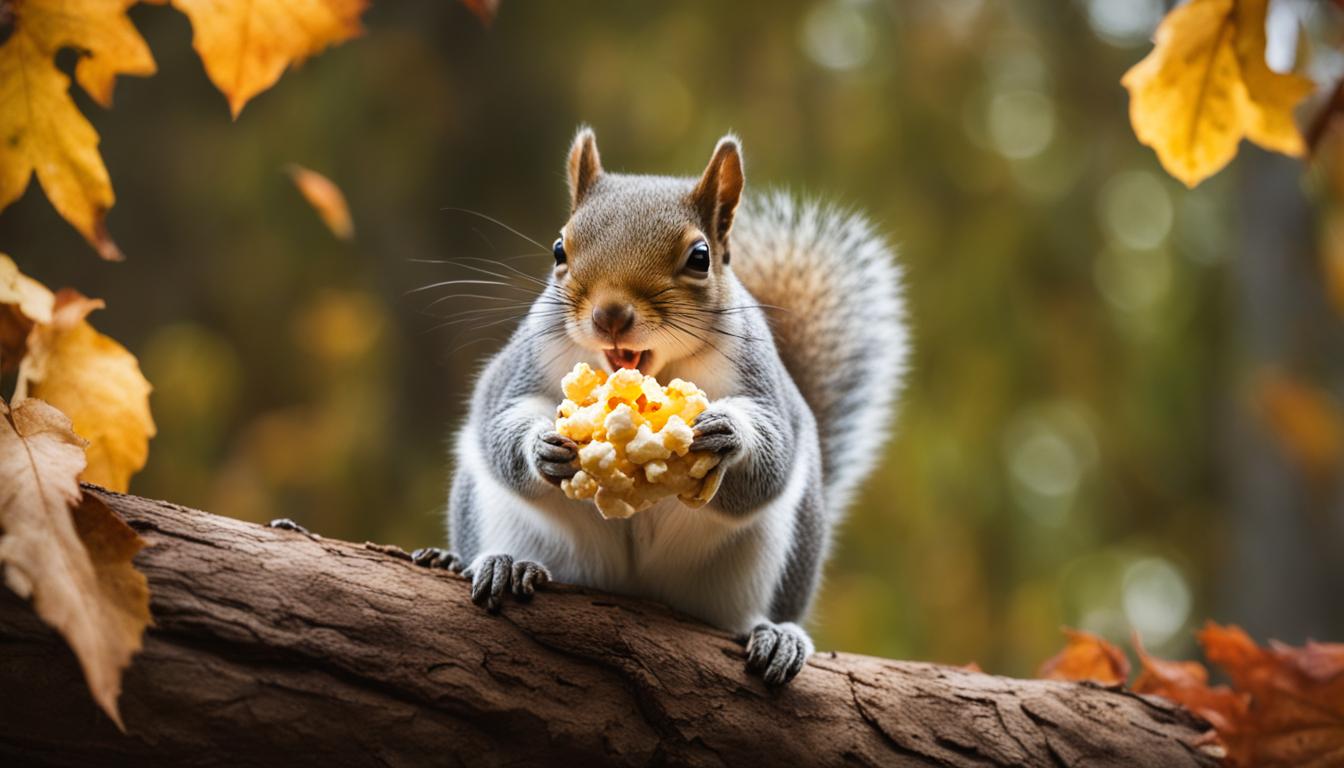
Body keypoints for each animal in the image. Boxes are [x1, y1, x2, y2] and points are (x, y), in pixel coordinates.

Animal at [413, 129, 908, 688]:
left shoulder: (764, 384)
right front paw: (541, 446)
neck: (658, 370)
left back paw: (777, 634)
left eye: (700, 257)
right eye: (559, 247)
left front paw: (728, 437)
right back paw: (499, 564)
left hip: (786, 546)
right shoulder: (518, 368)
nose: (609, 314)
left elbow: (771, 459)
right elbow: (501, 419)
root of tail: (634, 589)